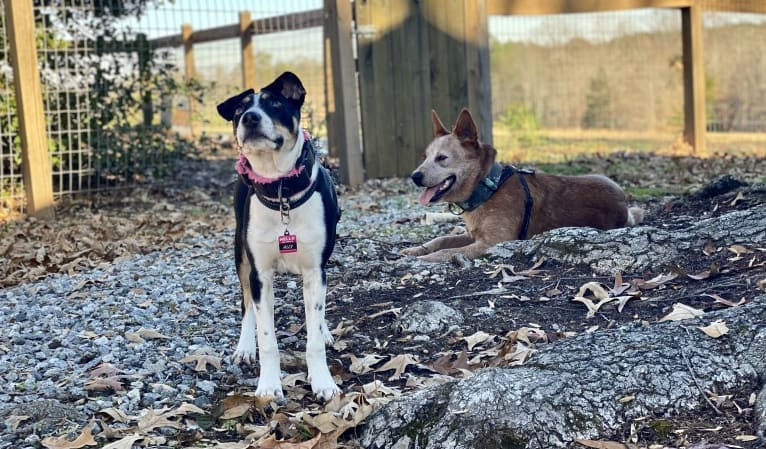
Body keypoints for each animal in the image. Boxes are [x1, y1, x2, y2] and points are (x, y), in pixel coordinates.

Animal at [213, 72, 340, 400]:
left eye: (275, 104)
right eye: (239, 110)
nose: (250, 117)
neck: (282, 191)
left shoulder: (316, 270)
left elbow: (314, 335)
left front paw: (323, 382)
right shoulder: (260, 273)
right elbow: (267, 336)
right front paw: (269, 386)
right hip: (241, 256)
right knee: (246, 305)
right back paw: (245, 347)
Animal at [404, 108, 644, 262]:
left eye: (442, 158)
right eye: (425, 157)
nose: (414, 176)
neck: (488, 188)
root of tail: (623, 203)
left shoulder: (493, 241)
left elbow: (446, 252)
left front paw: (426, 257)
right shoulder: (472, 236)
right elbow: (441, 239)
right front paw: (415, 250)